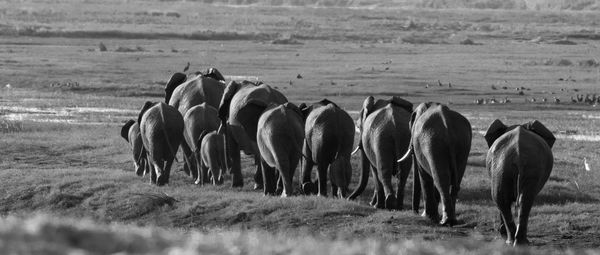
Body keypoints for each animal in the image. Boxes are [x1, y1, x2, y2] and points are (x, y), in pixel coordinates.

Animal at [486, 118, 556, 246]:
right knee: (518, 199)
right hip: (513, 166)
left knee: (503, 199)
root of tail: (518, 153)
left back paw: (514, 242)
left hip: (504, 166)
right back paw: (517, 242)